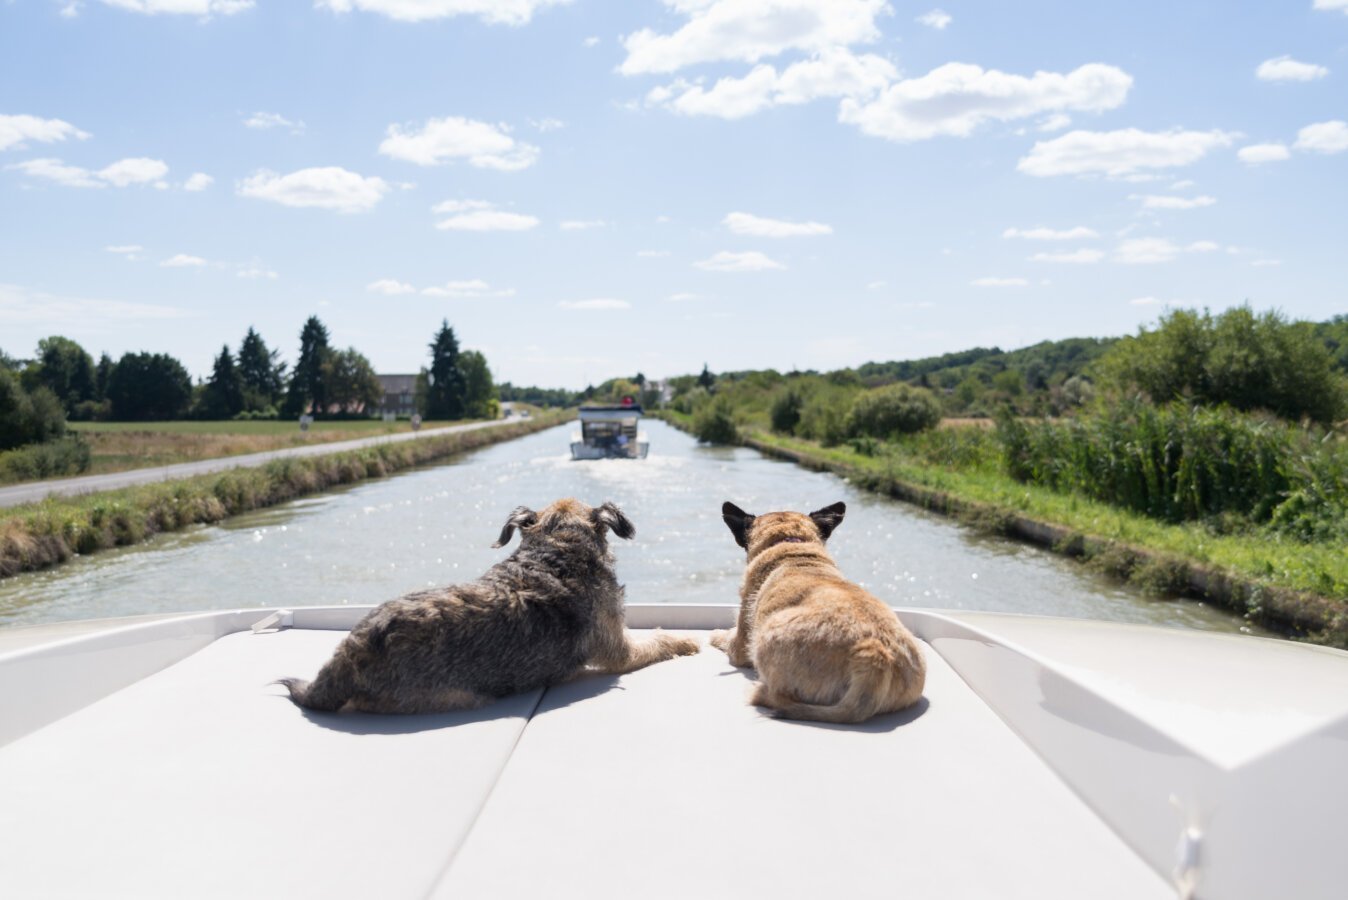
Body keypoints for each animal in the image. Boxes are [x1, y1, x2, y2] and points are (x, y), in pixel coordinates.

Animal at [711, 498, 922, 722]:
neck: (792, 545)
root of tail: (875, 655)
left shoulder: (741, 642)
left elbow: (727, 638)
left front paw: (717, 635)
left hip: (766, 639)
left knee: (779, 696)